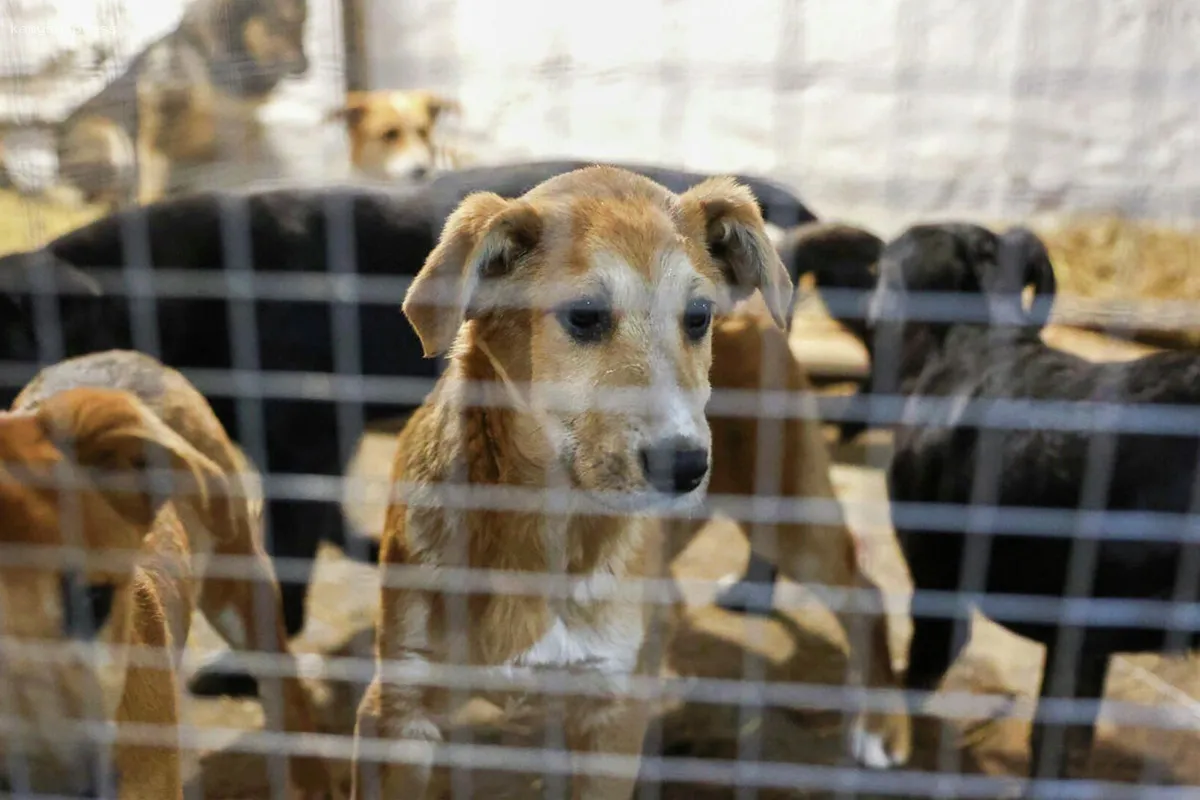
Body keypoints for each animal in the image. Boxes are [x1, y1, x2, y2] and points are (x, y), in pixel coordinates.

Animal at [350, 165, 796, 796]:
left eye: (698, 317)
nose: (686, 468)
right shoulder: (397, 707)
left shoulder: (610, 714)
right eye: (584, 316)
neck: (545, 532)